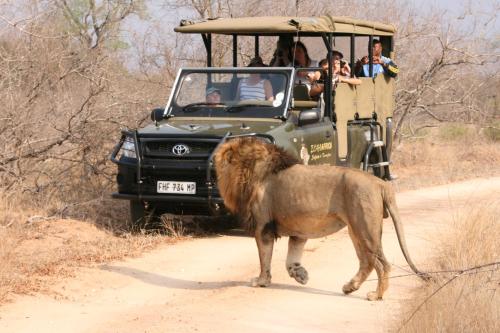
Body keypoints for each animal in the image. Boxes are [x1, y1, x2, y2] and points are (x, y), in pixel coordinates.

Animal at [213, 136, 428, 300]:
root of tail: (379, 183)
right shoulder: (299, 232)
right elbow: (291, 259)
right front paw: (301, 275)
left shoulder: (263, 227)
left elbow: (264, 259)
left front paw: (261, 281)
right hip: (356, 230)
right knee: (367, 262)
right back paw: (350, 287)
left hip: (365, 230)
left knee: (382, 264)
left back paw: (376, 295)